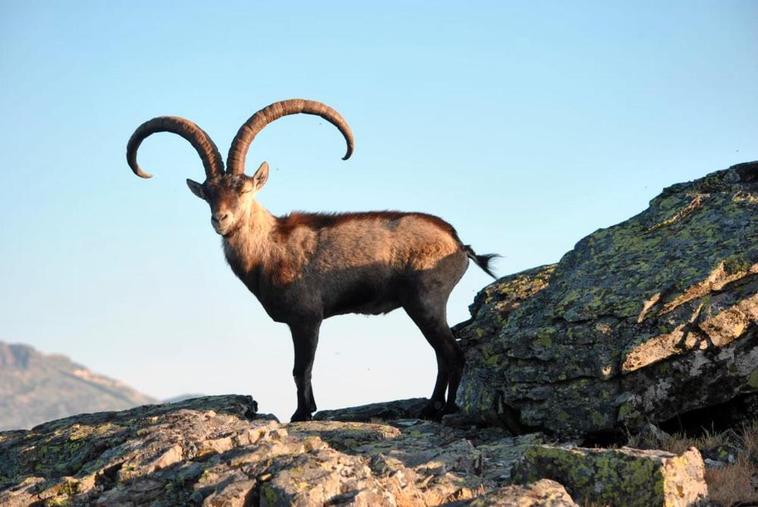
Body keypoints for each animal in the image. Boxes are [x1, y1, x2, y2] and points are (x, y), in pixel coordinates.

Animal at [129, 98, 498, 420]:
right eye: (208, 192)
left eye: (244, 189)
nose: (221, 219)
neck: (271, 245)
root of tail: (458, 242)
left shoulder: (307, 318)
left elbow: (300, 368)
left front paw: (302, 413)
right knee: (443, 354)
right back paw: (435, 408)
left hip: (425, 300)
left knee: (451, 354)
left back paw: (444, 409)